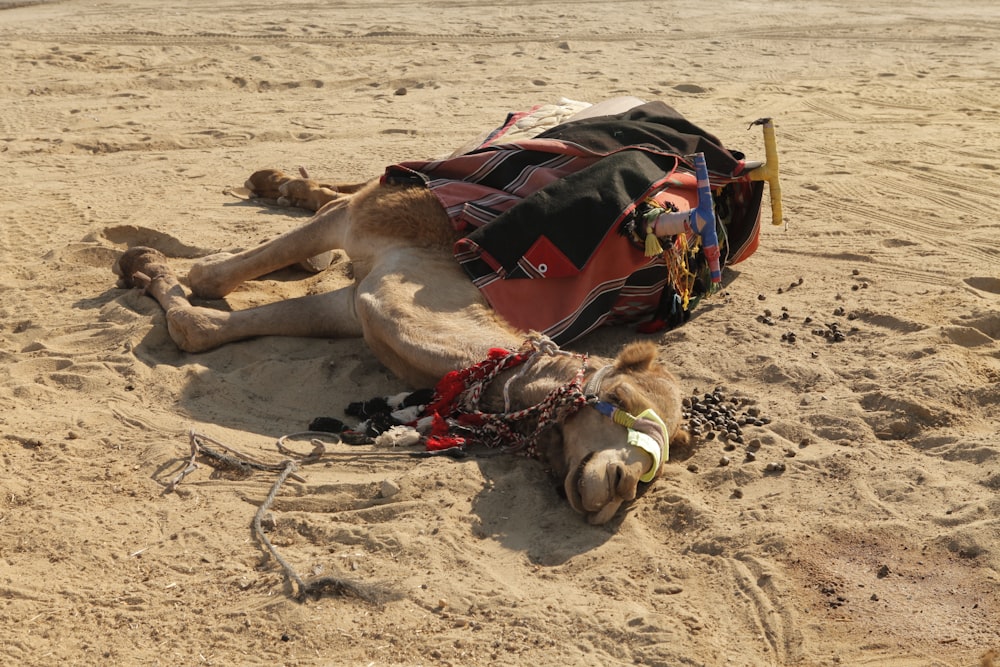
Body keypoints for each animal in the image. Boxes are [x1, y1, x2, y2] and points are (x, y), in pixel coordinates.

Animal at [115, 98, 772, 528]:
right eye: (626, 399)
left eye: (672, 446)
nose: (622, 486)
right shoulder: (364, 229)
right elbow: (214, 277)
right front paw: (147, 262)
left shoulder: (353, 305)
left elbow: (203, 327)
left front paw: (151, 271)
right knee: (361, 184)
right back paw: (275, 183)